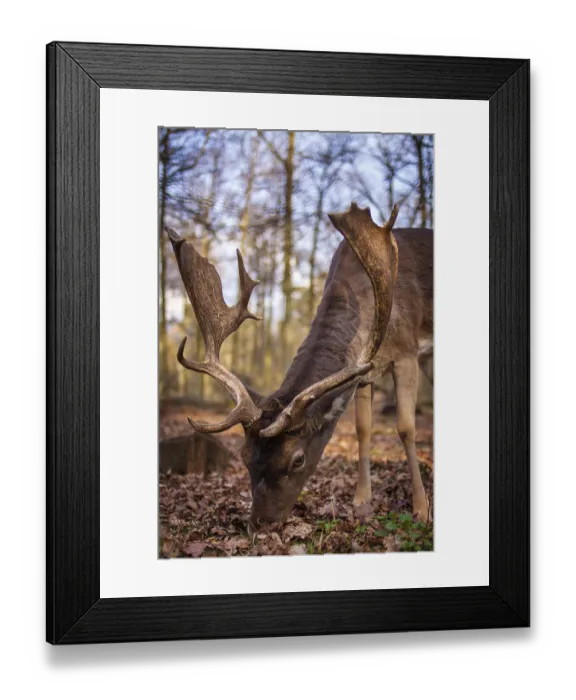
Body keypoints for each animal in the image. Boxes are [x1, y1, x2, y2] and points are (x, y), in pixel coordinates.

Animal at [166, 201, 433, 530]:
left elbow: (406, 428)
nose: (260, 524)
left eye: (298, 460)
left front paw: (421, 510)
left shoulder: (407, 353)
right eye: (244, 456)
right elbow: (363, 430)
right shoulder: (364, 373)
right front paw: (361, 503)